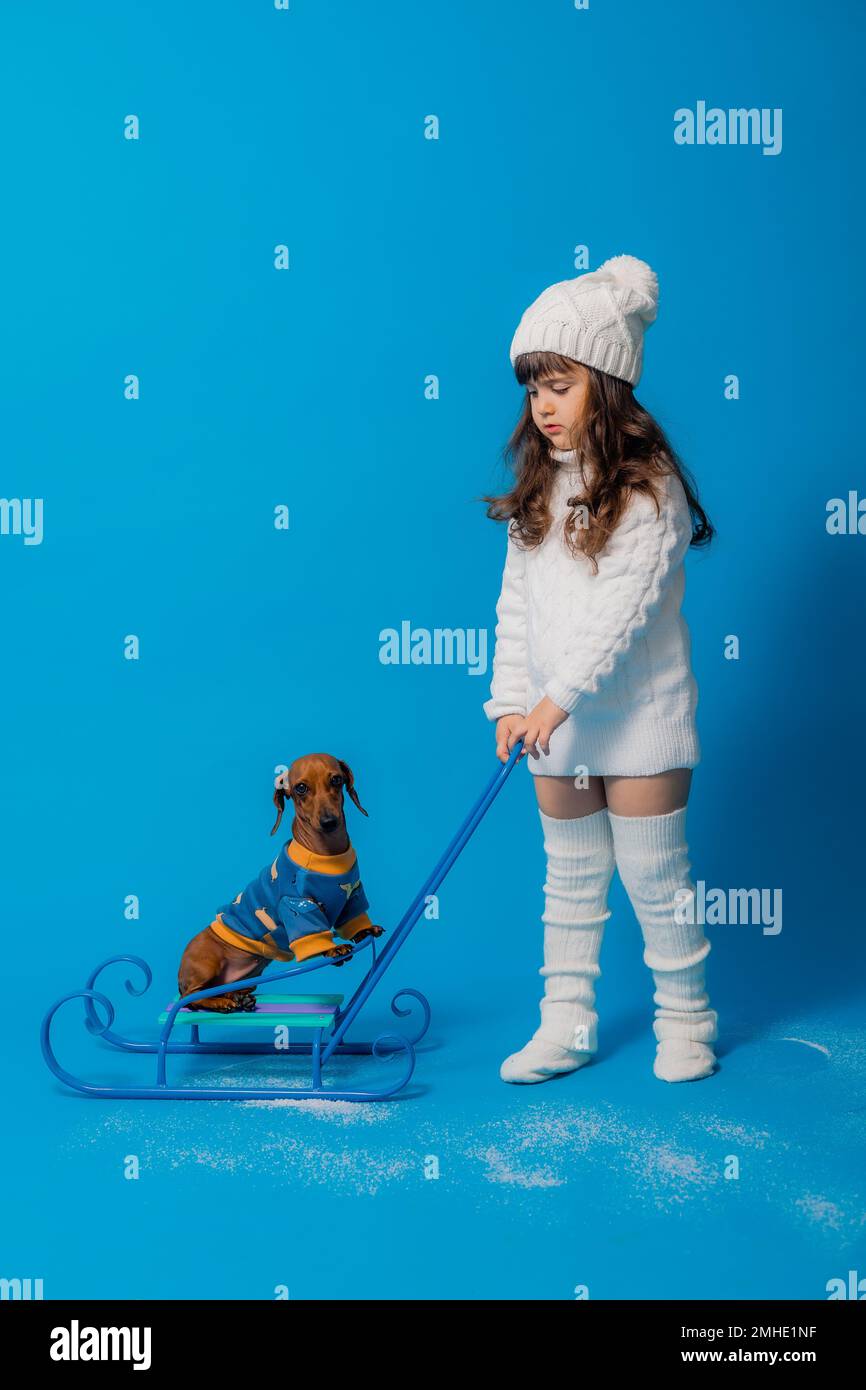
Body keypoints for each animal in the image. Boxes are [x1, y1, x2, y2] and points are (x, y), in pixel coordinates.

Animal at [177, 756, 383, 1017]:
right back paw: (222, 1003)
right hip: (206, 963)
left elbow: (354, 918)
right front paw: (332, 950)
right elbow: (313, 932)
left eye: (337, 779)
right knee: (191, 998)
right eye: (301, 788)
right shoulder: (297, 905)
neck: (328, 855)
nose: (329, 822)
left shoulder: (353, 893)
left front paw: (363, 930)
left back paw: (238, 998)